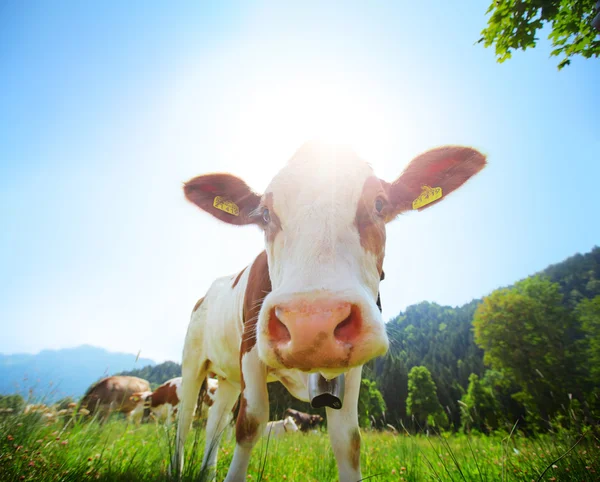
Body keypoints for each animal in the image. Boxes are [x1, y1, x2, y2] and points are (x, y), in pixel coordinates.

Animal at [175, 141, 488, 480]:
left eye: (379, 204)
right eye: (266, 215)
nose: (312, 324)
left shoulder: (352, 368)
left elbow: (348, 440)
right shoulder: (250, 350)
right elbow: (250, 424)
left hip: (228, 378)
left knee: (215, 424)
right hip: (192, 364)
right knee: (184, 422)